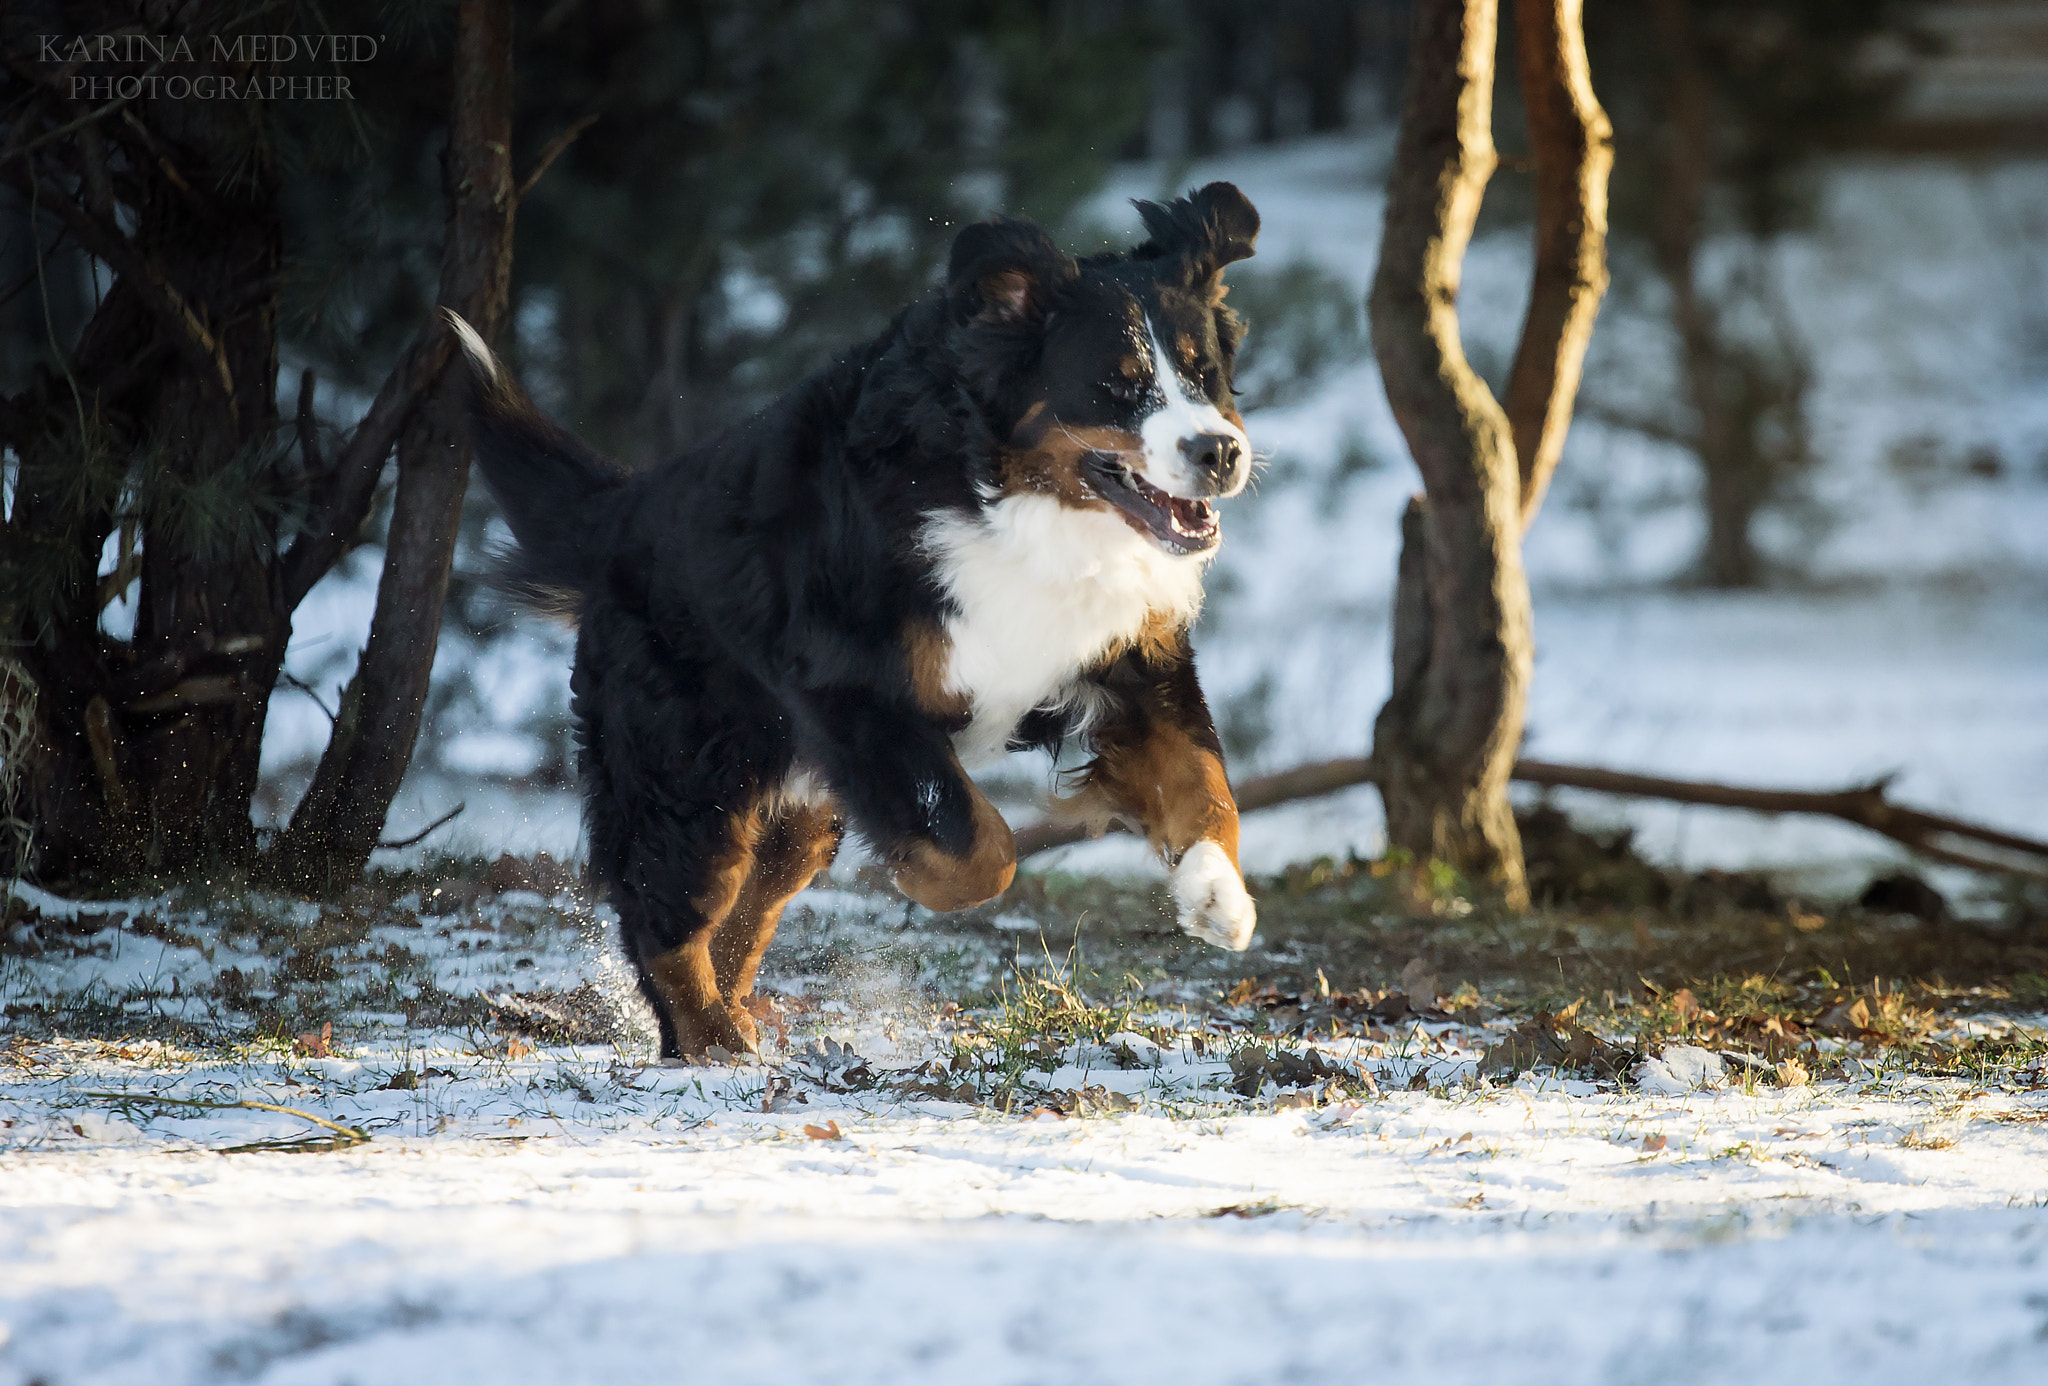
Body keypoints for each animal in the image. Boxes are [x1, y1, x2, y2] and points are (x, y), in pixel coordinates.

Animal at [456, 178, 1261, 1056]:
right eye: (1116, 384)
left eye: (1206, 375)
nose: (1220, 451)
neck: (1006, 496)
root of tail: (627, 507)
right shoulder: (854, 694)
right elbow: (981, 849)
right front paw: (925, 878)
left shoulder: (1130, 659)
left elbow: (1205, 784)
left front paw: (1215, 897)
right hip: (691, 769)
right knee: (667, 913)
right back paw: (710, 1040)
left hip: (791, 797)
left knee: (749, 902)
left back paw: (738, 1017)